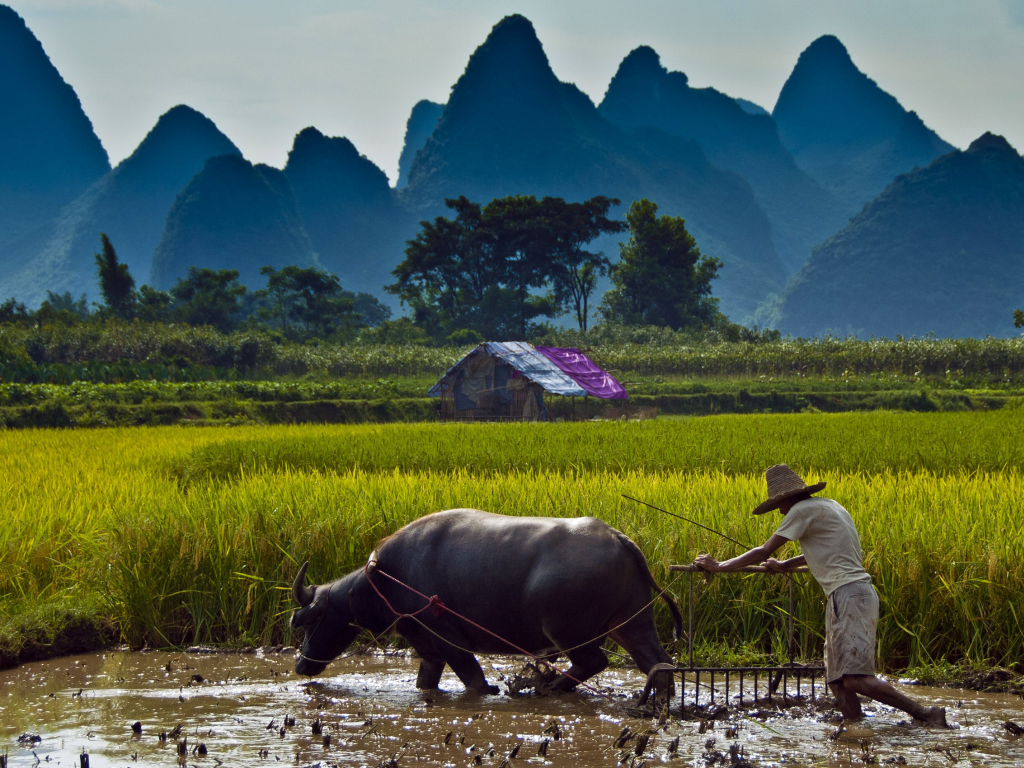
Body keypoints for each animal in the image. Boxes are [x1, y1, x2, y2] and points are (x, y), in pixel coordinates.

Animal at [292, 512, 684, 696]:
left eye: (313, 620)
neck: (387, 578)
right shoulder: (425, 643)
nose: (299, 664)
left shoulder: (447, 635)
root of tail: (619, 538)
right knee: (657, 663)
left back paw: (546, 688)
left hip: (566, 630)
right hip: (632, 623)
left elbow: (474, 679)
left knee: (592, 662)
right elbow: (426, 679)